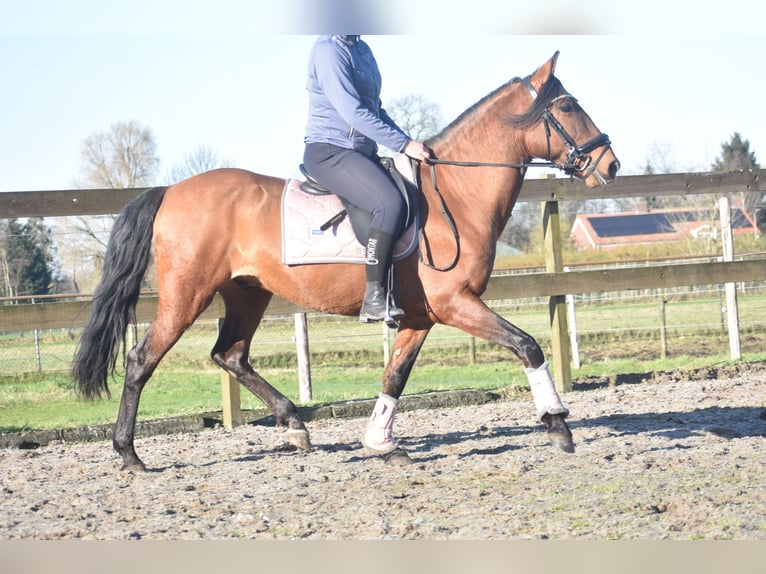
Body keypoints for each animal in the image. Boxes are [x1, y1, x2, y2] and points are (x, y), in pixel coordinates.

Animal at [75, 50, 620, 472]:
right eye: (567, 106)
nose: (611, 164)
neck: (455, 194)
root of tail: (171, 191)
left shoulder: (422, 316)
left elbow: (394, 376)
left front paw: (381, 443)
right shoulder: (455, 303)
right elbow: (527, 345)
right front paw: (557, 423)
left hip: (248, 293)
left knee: (230, 355)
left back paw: (295, 425)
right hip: (187, 293)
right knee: (143, 359)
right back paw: (129, 455)